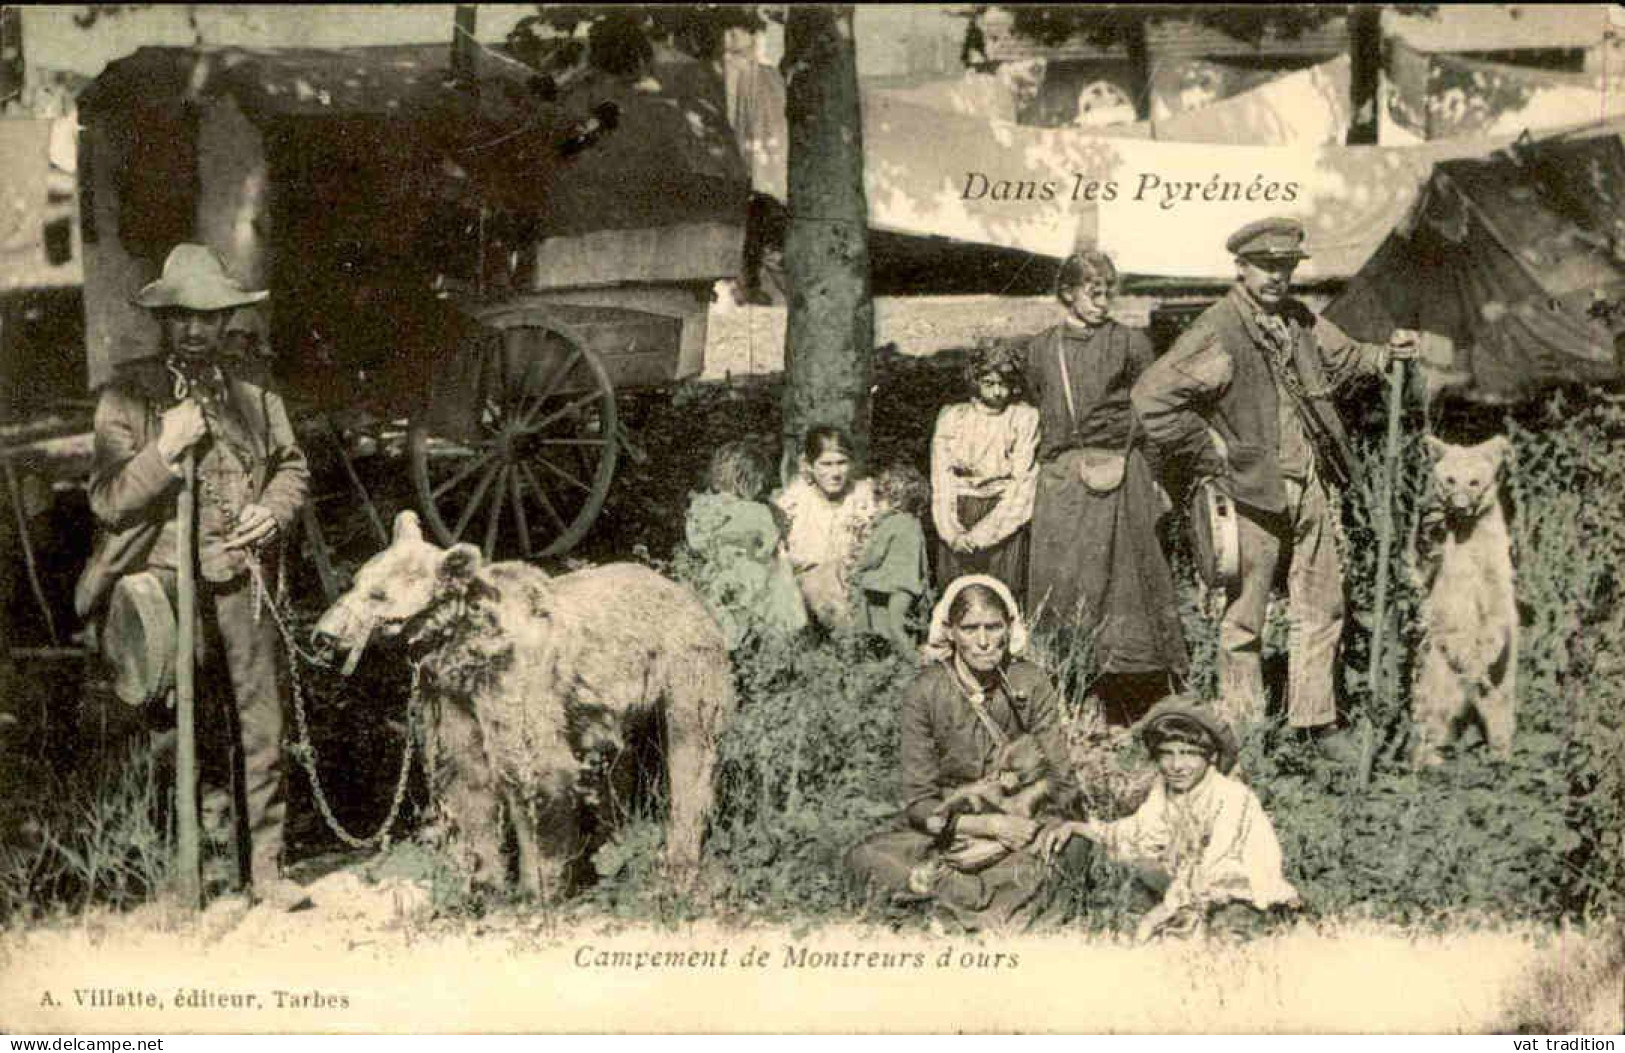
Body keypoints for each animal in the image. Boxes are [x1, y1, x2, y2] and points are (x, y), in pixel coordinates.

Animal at [308, 510, 737, 897]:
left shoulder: (514, 682)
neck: (462, 646)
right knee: (625, 763)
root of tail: (683, 590)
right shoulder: (451, 697)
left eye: (378, 594)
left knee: (691, 752)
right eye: (357, 582)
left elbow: (534, 770)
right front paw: (484, 882)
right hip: (622, 704)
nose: (324, 635)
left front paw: (538, 885)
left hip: (683, 664)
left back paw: (679, 860)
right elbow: (467, 776)